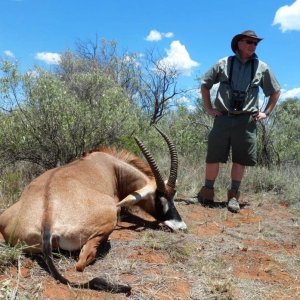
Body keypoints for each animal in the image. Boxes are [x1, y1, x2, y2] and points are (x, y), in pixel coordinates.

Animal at [0, 126, 186, 292]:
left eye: (173, 197)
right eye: (160, 200)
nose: (181, 226)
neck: (112, 166)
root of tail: (47, 218)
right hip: (108, 218)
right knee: (82, 261)